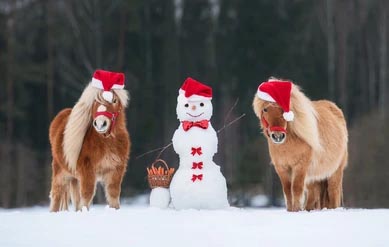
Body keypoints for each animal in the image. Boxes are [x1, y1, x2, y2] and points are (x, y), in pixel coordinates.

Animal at [48, 69, 130, 210]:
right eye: (96, 101)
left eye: (114, 100)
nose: (100, 124)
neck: (106, 142)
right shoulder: (87, 170)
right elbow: (87, 195)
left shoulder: (116, 170)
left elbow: (113, 195)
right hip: (60, 172)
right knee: (56, 195)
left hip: (74, 178)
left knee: (75, 199)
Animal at [252, 77, 348, 210]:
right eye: (265, 109)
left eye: (283, 109)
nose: (278, 136)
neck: (288, 145)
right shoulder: (282, 168)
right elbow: (287, 191)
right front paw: (290, 210)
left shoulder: (300, 167)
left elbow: (296, 189)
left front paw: (297, 210)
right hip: (314, 178)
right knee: (313, 196)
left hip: (335, 172)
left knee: (333, 193)